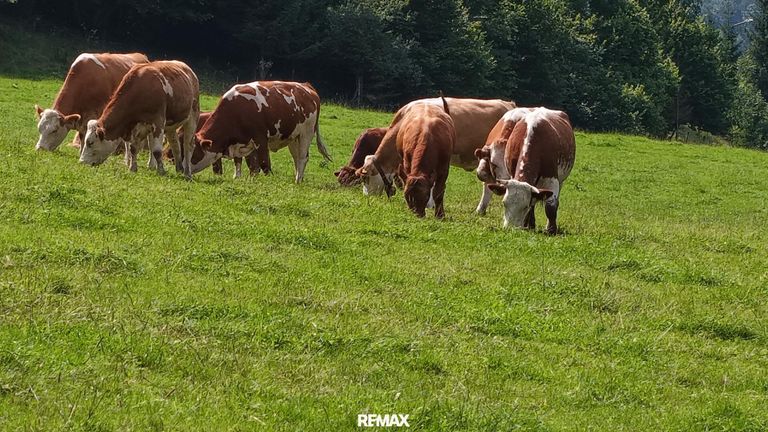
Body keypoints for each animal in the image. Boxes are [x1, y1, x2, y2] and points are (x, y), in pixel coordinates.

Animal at [189, 81, 331, 183]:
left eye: (194, 154)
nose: (186, 171)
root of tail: (306, 86)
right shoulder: (239, 141)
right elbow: (240, 161)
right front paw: (238, 178)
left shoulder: (260, 138)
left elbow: (263, 163)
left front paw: (268, 180)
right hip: (294, 137)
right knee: (296, 157)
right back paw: (298, 178)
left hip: (306, 134)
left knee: (302, 158)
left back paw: (297, 180)